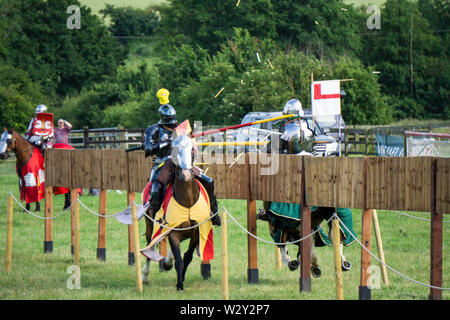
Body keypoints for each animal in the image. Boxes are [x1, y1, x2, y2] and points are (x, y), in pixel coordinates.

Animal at [142, 134, 212, 290]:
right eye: (174, 151)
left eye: (192, 150)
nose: (186, 174)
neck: (188, 202)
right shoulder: (173, 231)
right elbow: (179, 260)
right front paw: (179, 285)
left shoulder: (196, 232)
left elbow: (187, 257)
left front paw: (182, 278)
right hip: (150, 224)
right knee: (150, 244)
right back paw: (145, 275)